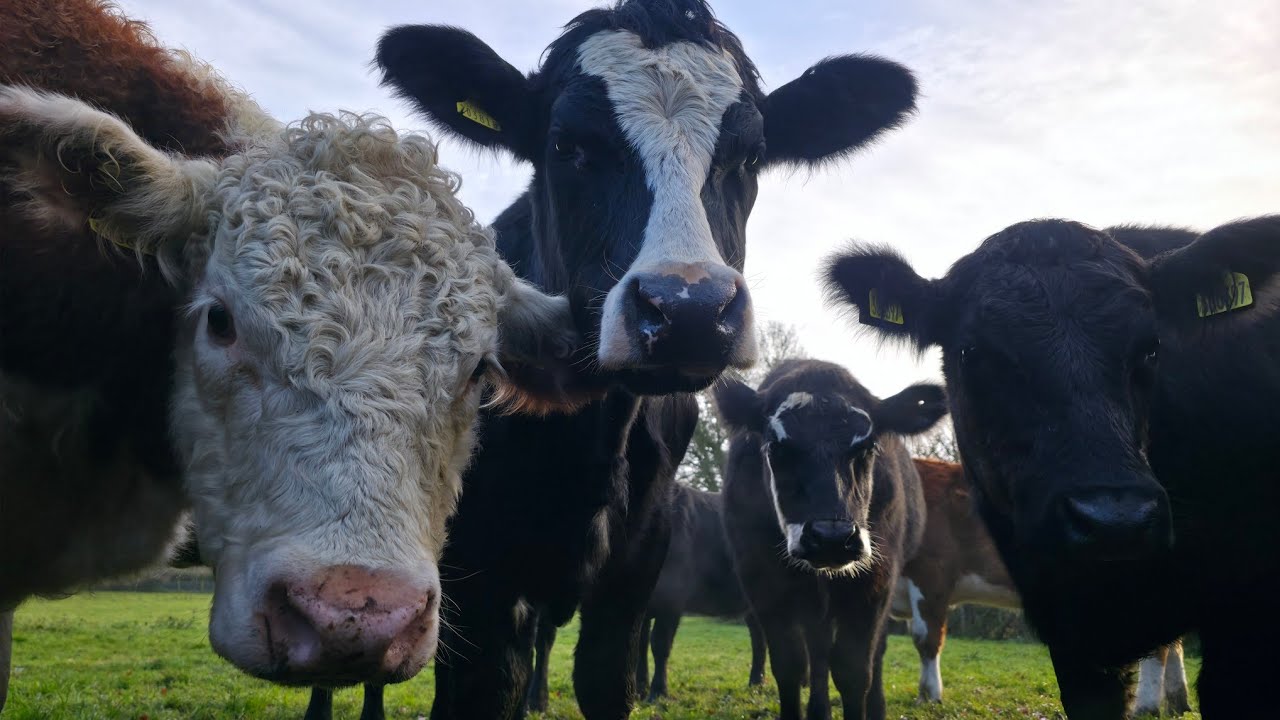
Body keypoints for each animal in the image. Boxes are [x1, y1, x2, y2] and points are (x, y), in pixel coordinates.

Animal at [521, 483, 767, 715]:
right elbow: (638, 646)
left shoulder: (671, 597)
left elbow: (658, 644)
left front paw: (657, 693)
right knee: (758, 637)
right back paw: (756, 684)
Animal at [715, 358, 947, 720]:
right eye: (777, 448)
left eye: (867, 448)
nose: (831, 537)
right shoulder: (763, 581)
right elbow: (790, 665)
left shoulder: (874, 582)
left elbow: (855, 670)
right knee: (818, 651)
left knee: (872, 652)